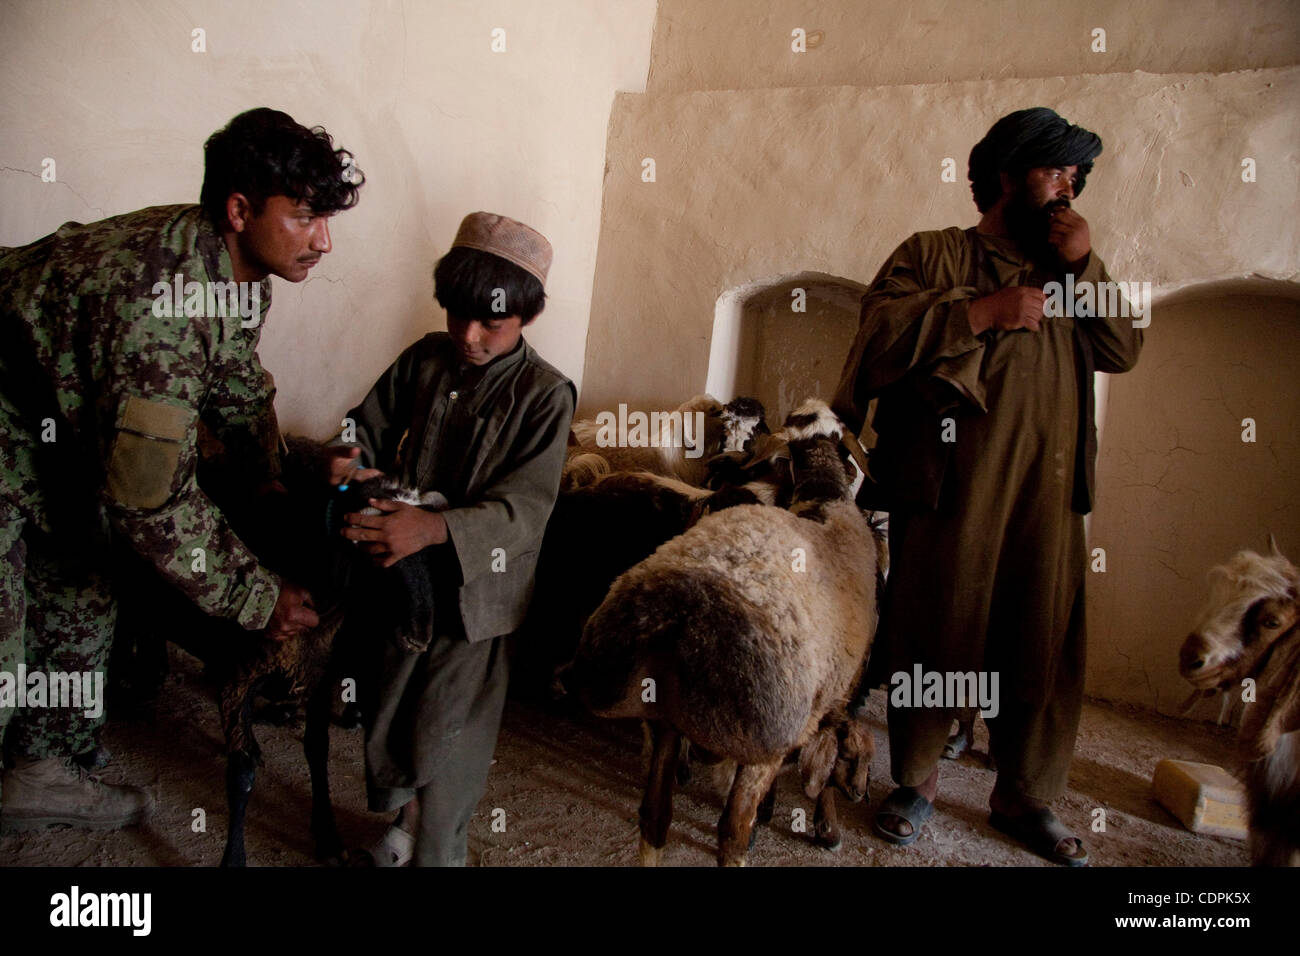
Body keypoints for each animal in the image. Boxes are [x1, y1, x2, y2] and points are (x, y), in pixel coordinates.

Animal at [564, 400, 878, 863]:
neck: (825, 499)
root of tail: (680, 608)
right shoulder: (832, 693)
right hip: (760, 736)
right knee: (731, 832)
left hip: (665, 714)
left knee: (654, 815)